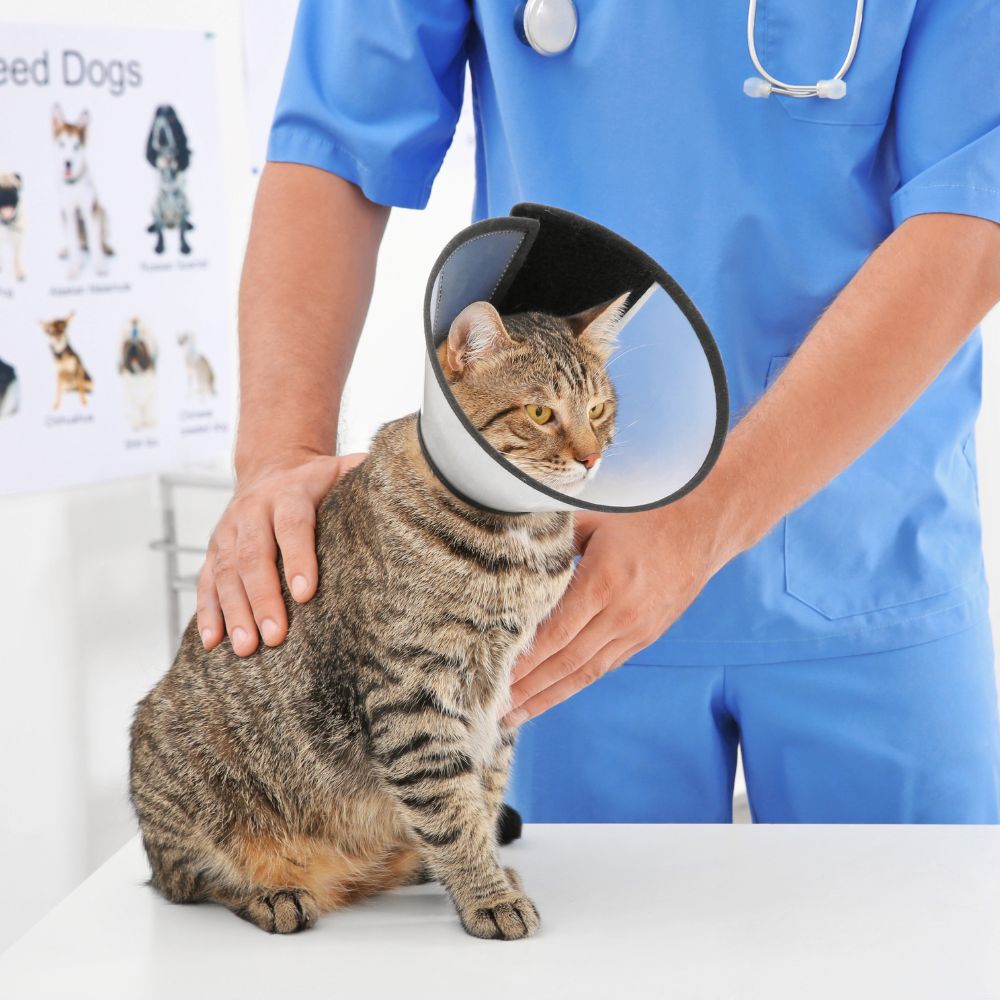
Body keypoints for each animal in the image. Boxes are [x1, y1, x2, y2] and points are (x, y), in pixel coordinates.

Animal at [127, 292, 624, 940]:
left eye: (598, 409)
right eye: (541, 413)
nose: (591, 457)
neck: (520, 541)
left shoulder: (503, 697)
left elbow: (482, 796)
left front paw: (487, 873)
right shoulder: (414, 691)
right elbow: (450, 807)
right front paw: (487, 894)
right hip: (177, 770)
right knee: (188, 879)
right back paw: (273, 891)